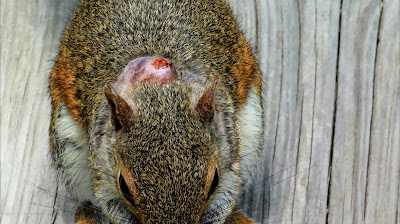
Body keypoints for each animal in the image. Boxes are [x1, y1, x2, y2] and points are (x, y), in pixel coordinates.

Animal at [49, 0, 262, 223]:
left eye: (214, 181)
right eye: (124, 187)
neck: (158, 94)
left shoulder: (228, 137)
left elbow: (226, 198)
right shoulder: (101, 153)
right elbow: (110, 204)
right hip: (68, 152)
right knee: (85, 204)